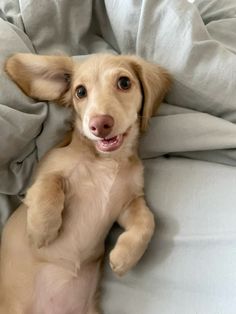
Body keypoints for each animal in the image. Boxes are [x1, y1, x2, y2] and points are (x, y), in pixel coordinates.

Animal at [0, 52, 171, 312]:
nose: (99, 125)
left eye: (124, 82)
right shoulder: (44, 173)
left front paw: (125, 257)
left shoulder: (128, 203)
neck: (107, 161)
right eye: (80, 91)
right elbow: (50, 187)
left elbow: (147, 221)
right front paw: (42, 230)